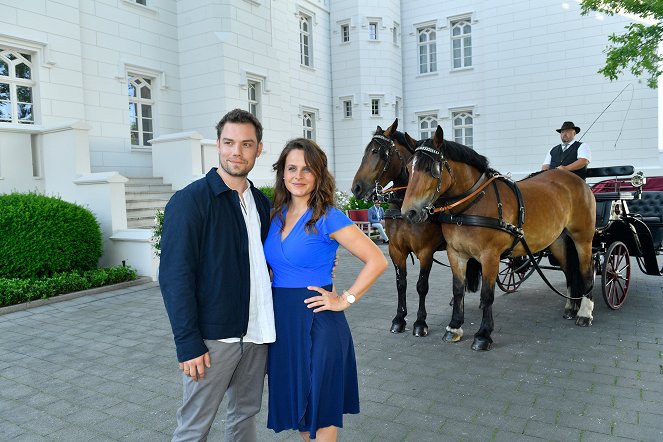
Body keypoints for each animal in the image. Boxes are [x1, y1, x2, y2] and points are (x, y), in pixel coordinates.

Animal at [350, 119, 480, 336]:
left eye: (377, 151)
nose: (356, 188)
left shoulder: (425, 251)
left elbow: (421, 285)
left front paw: (420, 322)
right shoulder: (396, 250)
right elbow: (401, 284)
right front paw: (399, 318)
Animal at [402, 126, 600, 350]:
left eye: (432, 169)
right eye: (409, 168)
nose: (409, 213)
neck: (471, 204)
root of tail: (574, 179)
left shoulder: (490, 256)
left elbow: (487, 295)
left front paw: (483, 335)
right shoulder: (456, 253)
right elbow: (458, 290)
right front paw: (454, 327)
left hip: (583, 239)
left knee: (586, 270)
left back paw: (585, 312)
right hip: (557, 240)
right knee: (569, 271)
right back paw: (571, 307)